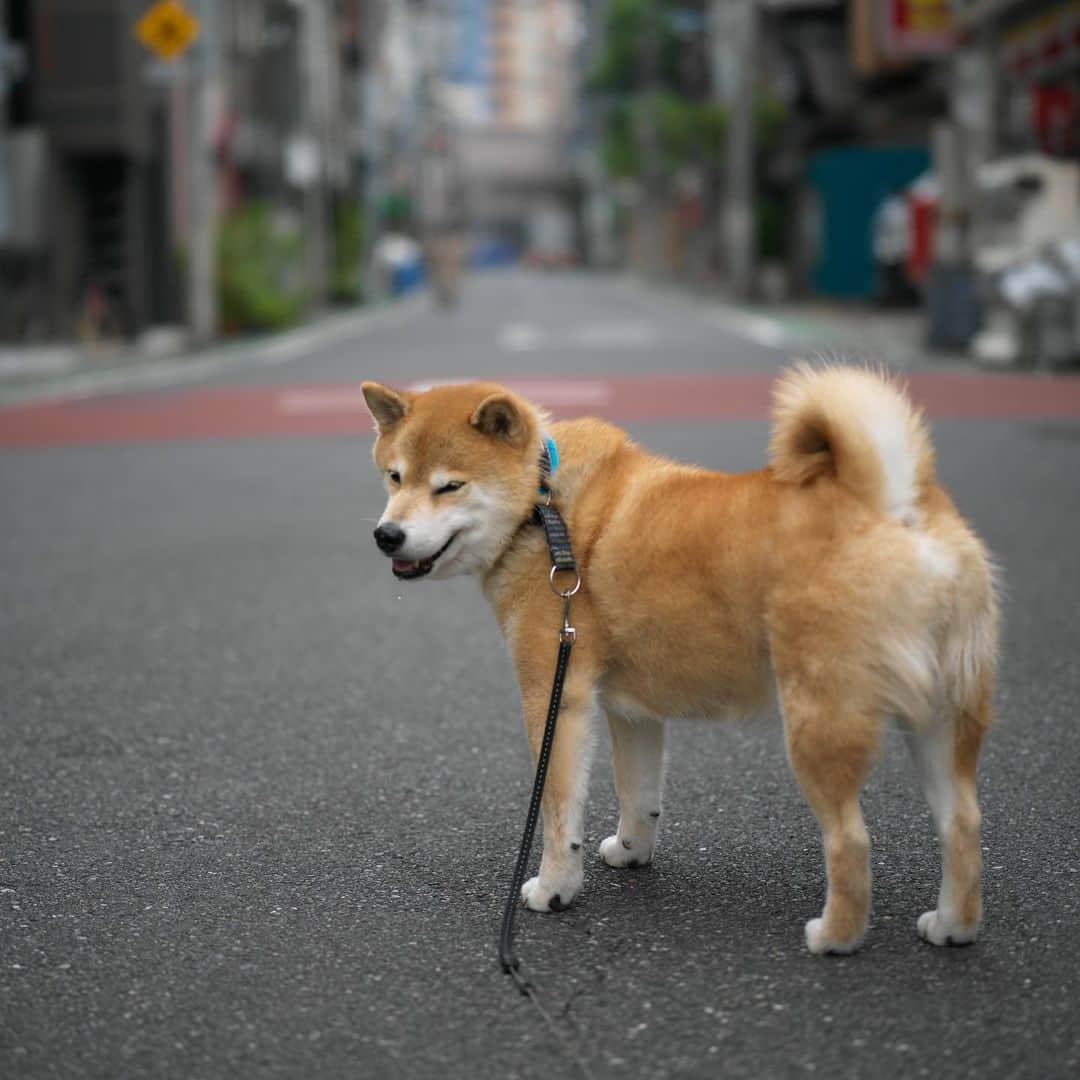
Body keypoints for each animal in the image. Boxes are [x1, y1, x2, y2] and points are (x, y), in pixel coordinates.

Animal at [360, 367, 993, 959]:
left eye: (449, 486)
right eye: (395, 476)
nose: (386, 535)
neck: (544, 507)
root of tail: (894, 505)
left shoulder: (556, 696)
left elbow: (559, 811)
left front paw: (556, 889)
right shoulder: (631, 712)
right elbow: (638, 795)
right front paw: (631, 852)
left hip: (821, 722)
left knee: (851, 840)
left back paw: (836, 936)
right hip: (942, 719)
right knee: (963, 822)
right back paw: (953, 927)